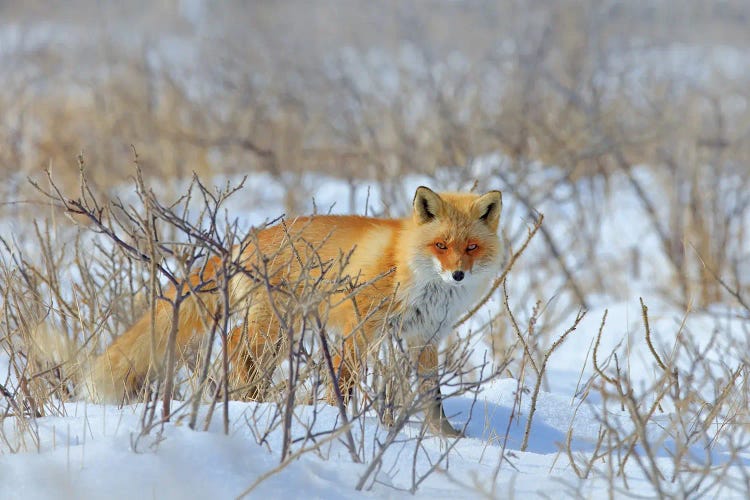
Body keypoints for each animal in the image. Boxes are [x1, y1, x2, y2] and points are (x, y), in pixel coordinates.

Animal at [85, 186, 502, 436]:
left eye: (471, 247)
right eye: (440, 245)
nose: (458, 275)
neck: (408, 268)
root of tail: (248, 239)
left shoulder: (424, 338)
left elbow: (433, 398)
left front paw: (446, 437)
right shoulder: (359, 328)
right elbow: (345, 381)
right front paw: (340, 421)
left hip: (284, 332)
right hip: (272, 327)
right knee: (235, 344)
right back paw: (247, 401)